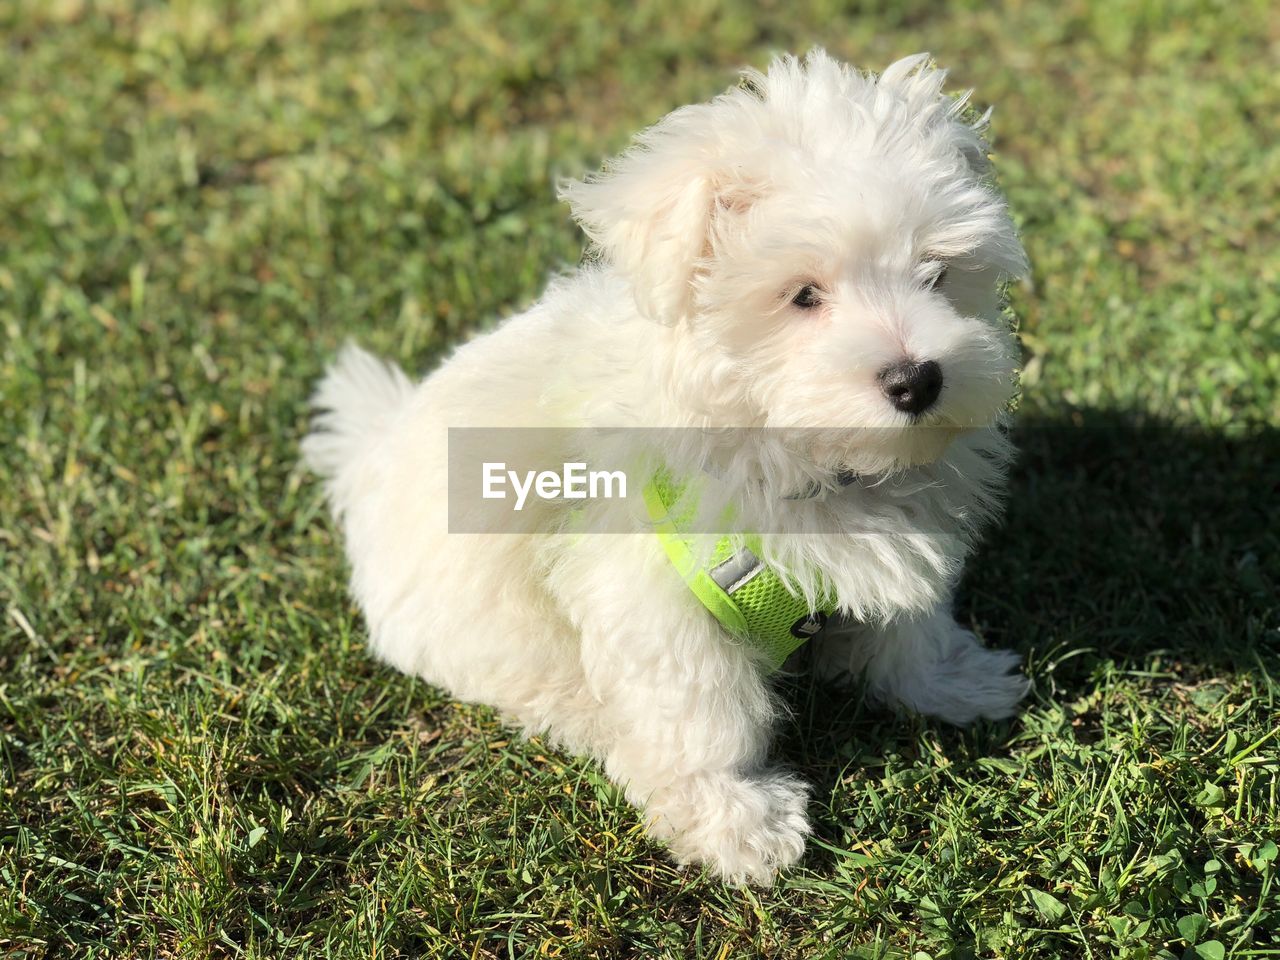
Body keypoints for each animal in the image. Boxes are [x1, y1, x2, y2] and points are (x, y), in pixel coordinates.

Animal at [304, 48, 1034, 885]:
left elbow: (909, 626)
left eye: (937, 275)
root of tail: (373, 449)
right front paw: (736, 819)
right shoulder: (650, 589)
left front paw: (949, 681)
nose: (916, 380)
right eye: (803, 295)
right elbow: (700, 711)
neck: (783, 444)